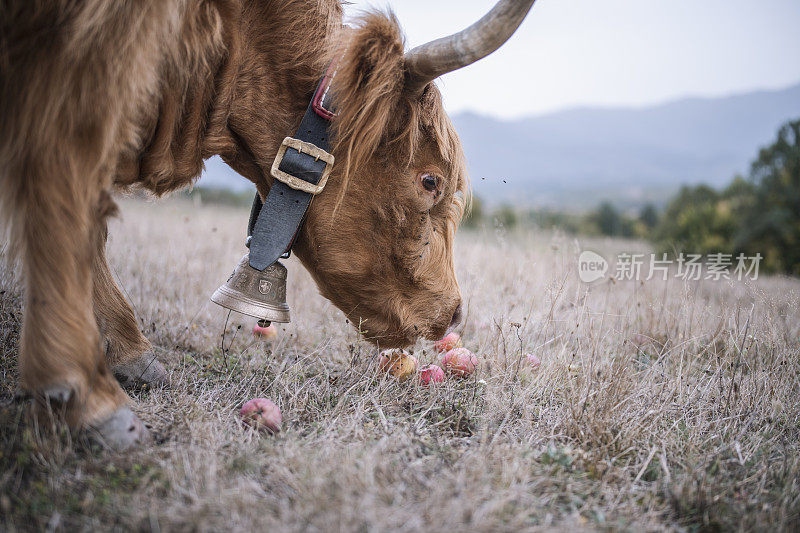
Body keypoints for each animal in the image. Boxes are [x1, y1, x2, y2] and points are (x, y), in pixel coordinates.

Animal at [1, 0, 536, 446]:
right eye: (430, 180)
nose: (455, 314)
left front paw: (129, 354)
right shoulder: (86, 60)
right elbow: (69, 198)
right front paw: (89, 397)